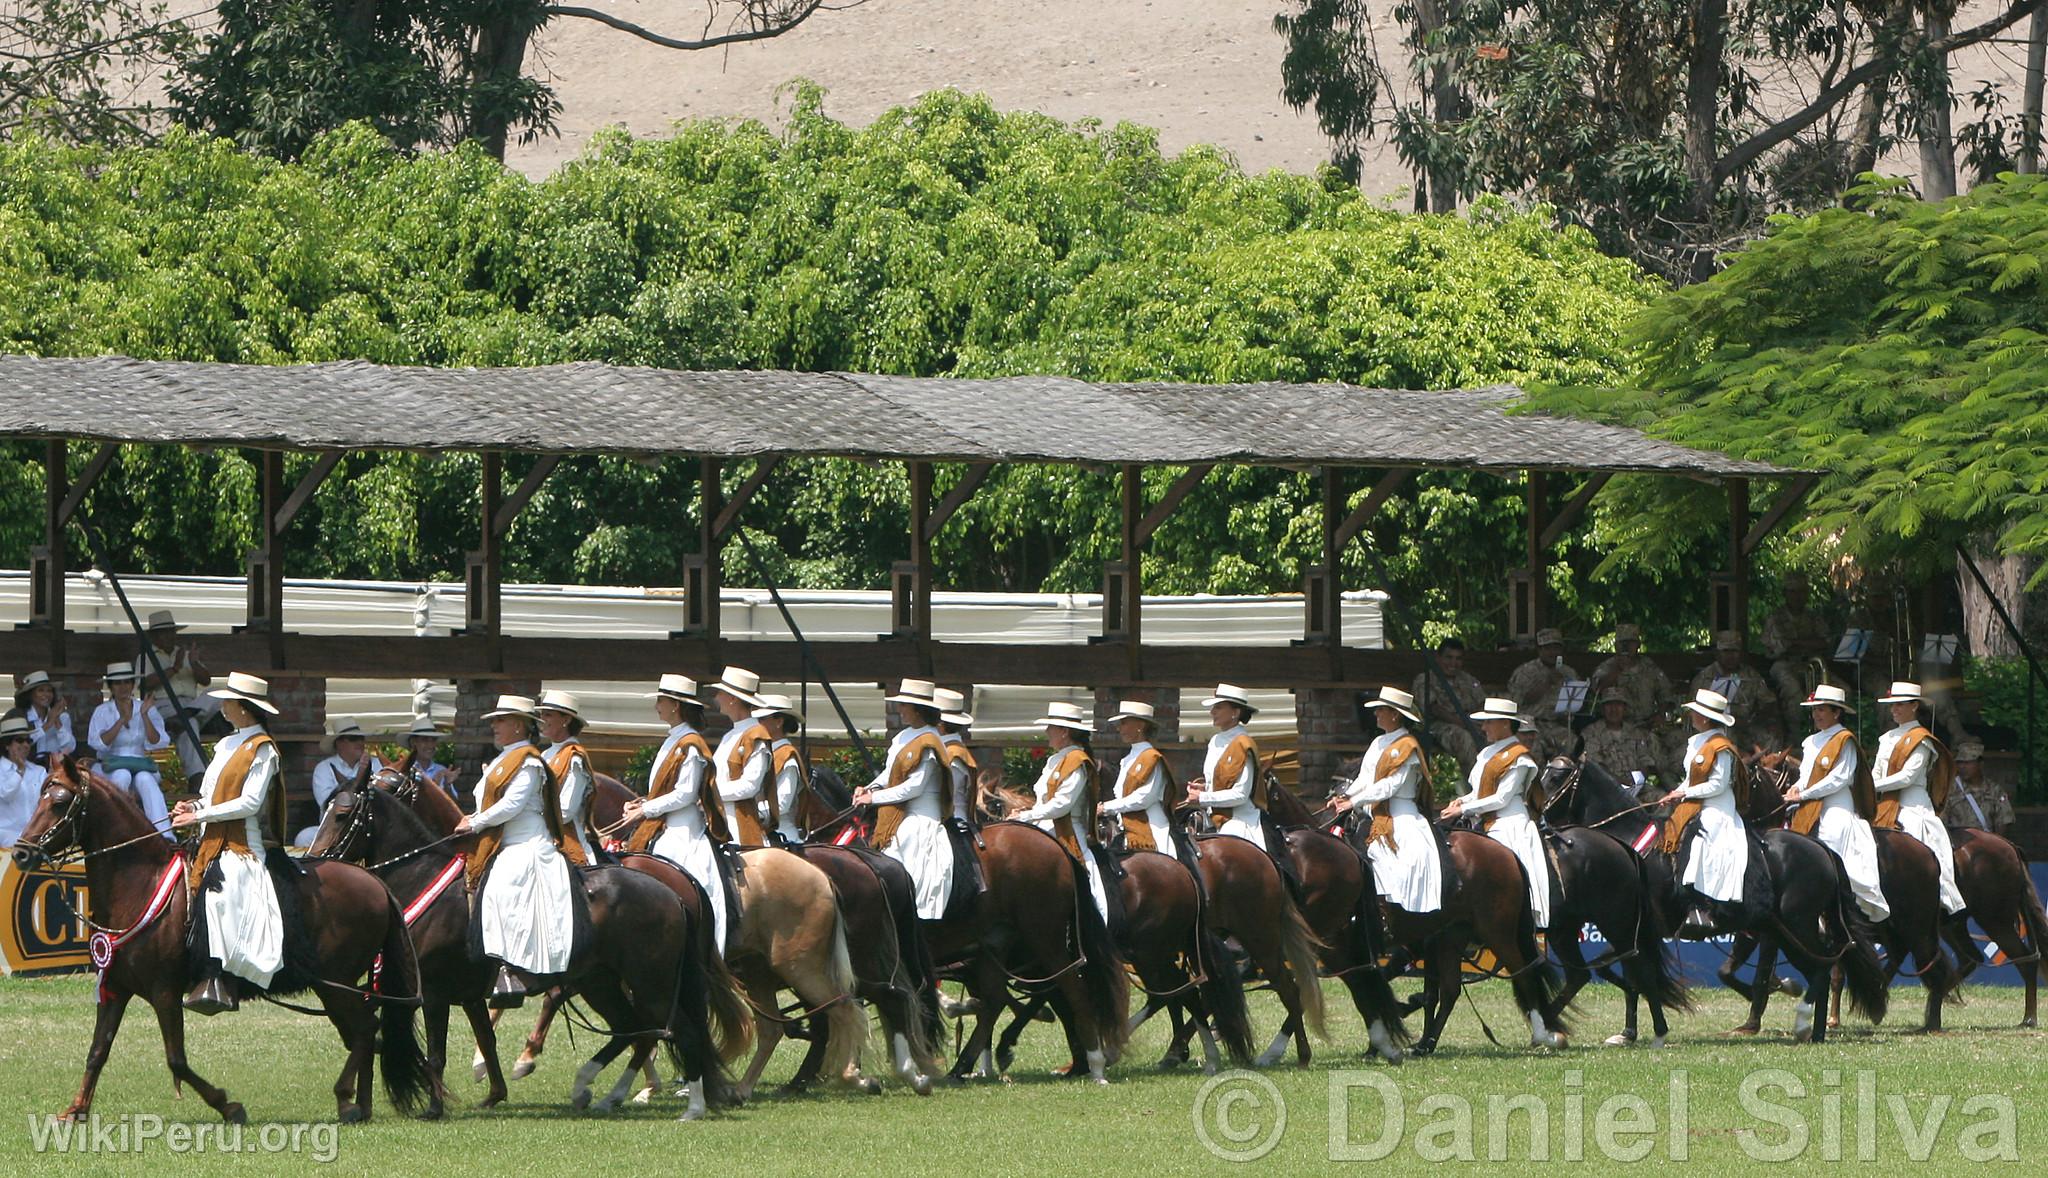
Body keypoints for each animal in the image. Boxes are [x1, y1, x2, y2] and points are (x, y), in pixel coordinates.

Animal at [11, 753, 432, 1122]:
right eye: (40, 796)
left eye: (59, 801)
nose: (20, 854)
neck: (141, 884)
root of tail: (374, 881)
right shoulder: (115, 987)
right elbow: (98, 1050)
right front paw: (75, 1110)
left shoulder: (165, 992)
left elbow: (176, 1060)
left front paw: (228, 1106)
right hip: (336, 987)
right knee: (366, 1032)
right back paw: (361, 1104)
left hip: (336, 984)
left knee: (364, 1031)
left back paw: (346, 1100)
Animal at [798, 770, 1130, 1081]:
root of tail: (1058, 848)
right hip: (999, 943)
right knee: (1000, 999)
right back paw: (968, 1064)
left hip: (1045, 940)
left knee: (1069, 990)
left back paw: (1091, 1063)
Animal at [1277, 786, 1564, 1057]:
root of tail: (1507, 853)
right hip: (1453, 938)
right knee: (1451, 990)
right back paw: (1426, 1044)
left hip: (1497, 933)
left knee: (1524, 973)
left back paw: (1541, 1034)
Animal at [1548, 753, 1884, 1040]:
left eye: (1556, 778)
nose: (1544, 822)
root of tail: (1821, 849)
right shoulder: (1633, 931)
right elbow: (1619, 972)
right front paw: (1628, 1032)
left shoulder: (1641, 930)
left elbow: (1631, 973)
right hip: (1785, 931)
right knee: (1821, 967)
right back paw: (1812, 1029)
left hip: (1797, 926)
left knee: (1823, 969)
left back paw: (1806, 1024)